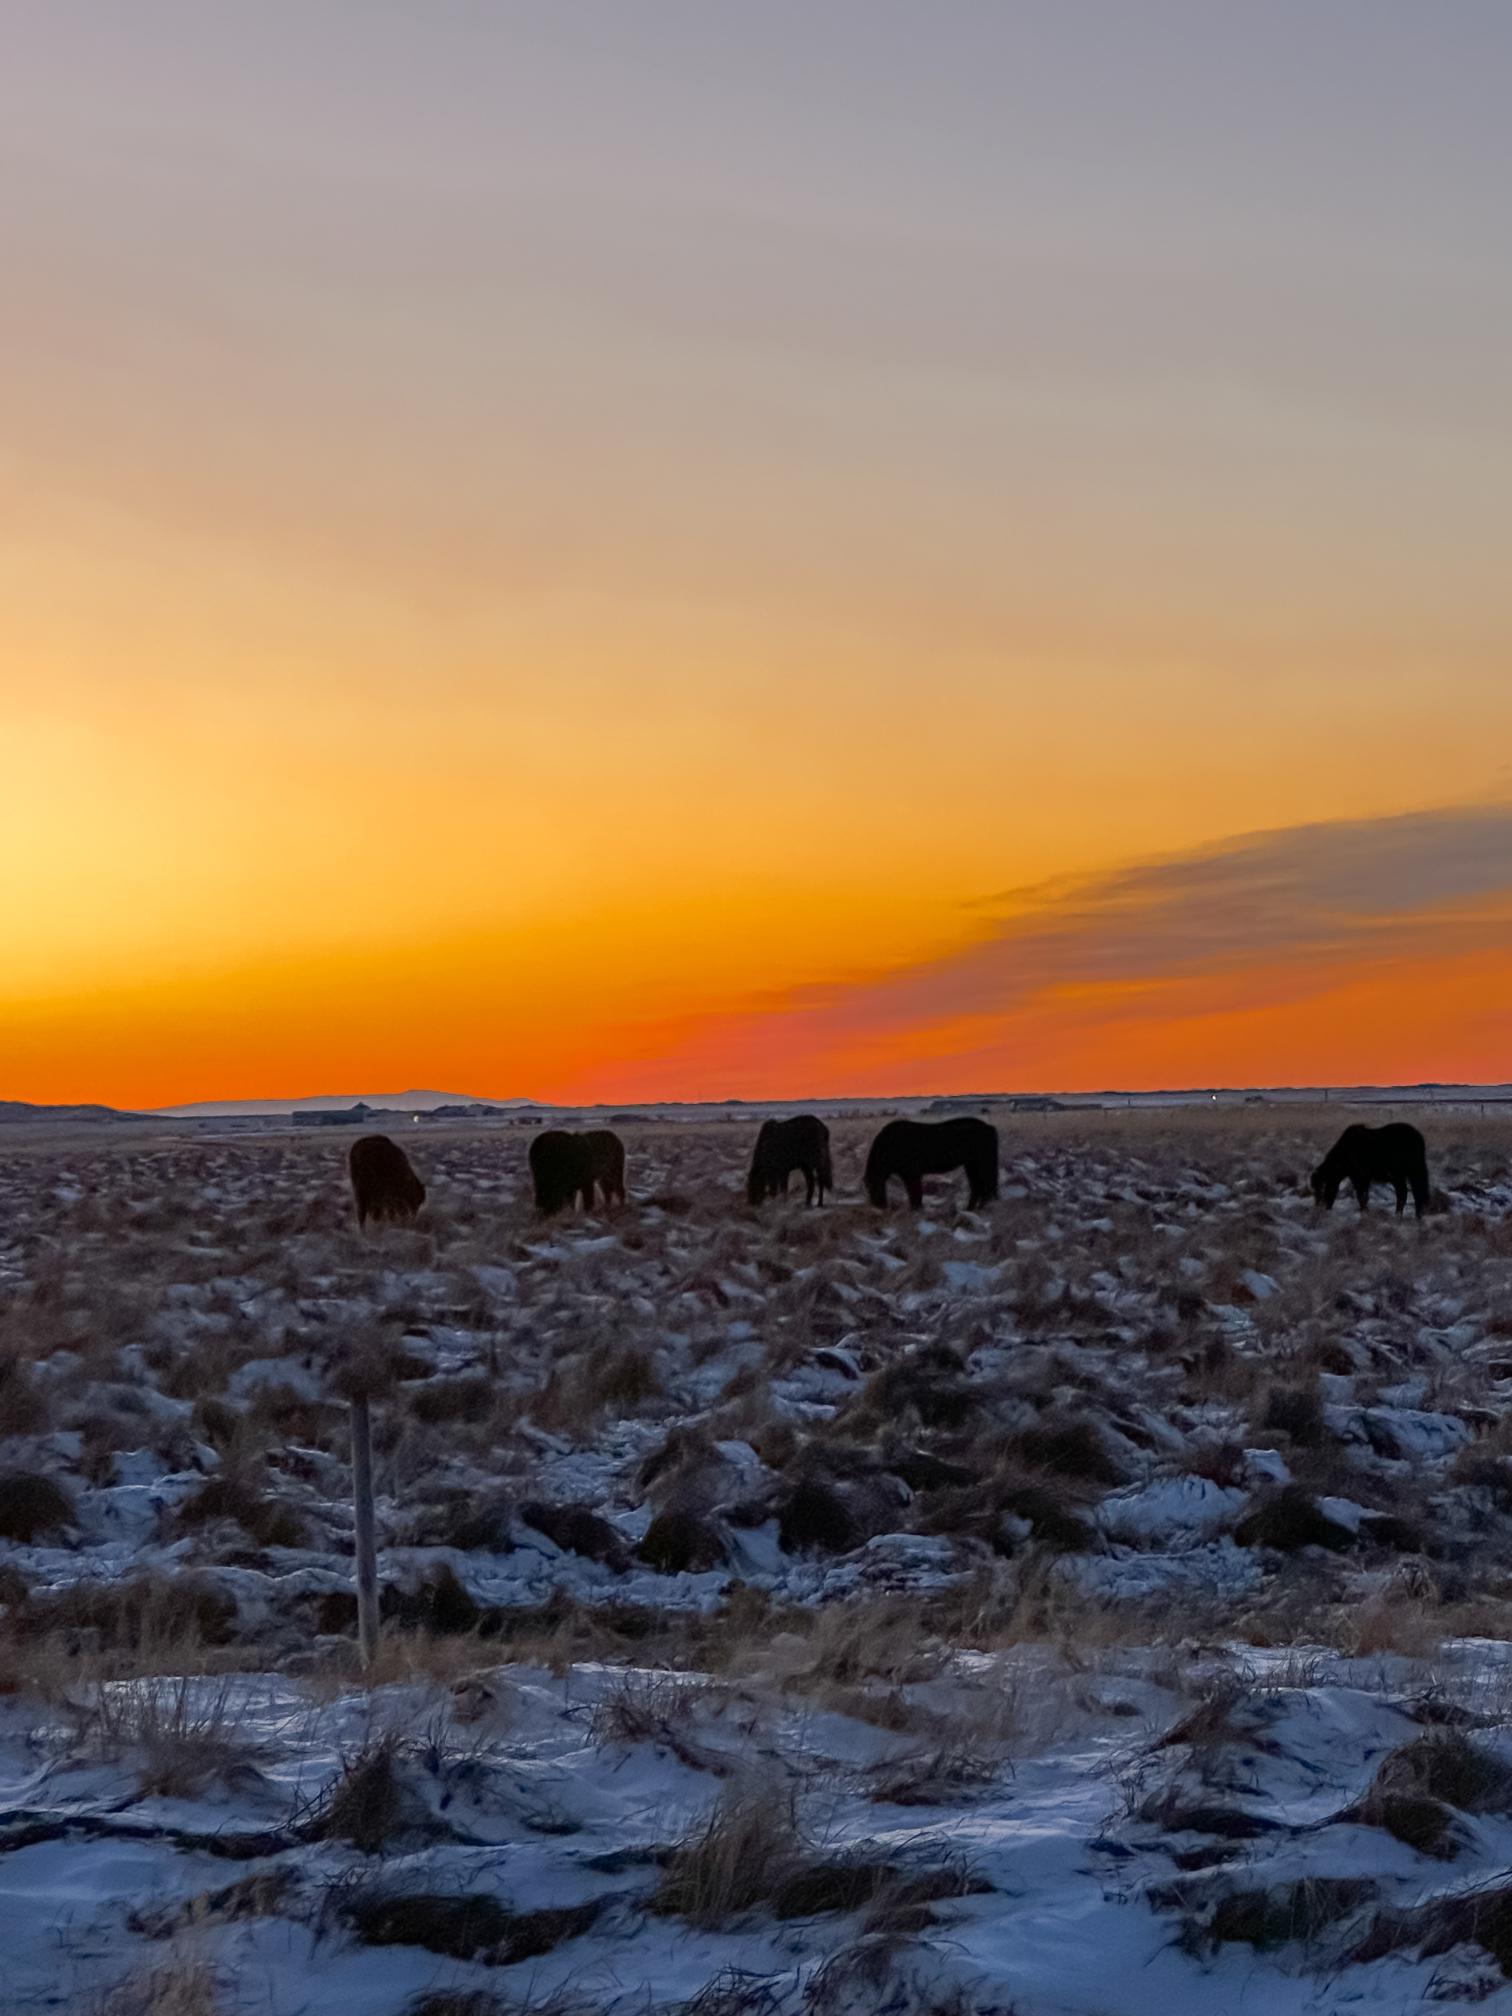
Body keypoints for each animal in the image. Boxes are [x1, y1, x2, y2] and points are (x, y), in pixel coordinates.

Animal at [870, 1112, 999, 1201]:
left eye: (874, 1186)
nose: (878, 1205)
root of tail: (989, 1127)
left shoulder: (912, 1174)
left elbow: (916, 1195)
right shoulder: (907, 1175)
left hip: (983, 1164)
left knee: (986, 1189)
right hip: (972, 1165)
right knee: (979, 1190)